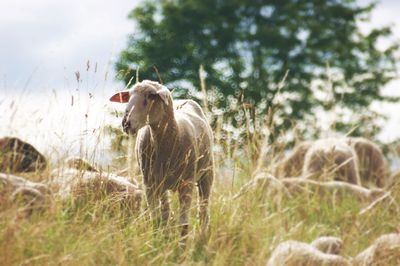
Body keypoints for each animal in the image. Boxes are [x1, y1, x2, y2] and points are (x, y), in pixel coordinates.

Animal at [109, 79, 216, 237]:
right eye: (129, 96)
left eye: (151, 96)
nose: (126, 123)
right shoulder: (149, 184)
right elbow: (155, 220)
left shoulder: (187, 183)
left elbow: (183, 225)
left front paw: (182, 243)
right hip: (163, 183)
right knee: (166, 213)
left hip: (207, 173)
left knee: (203, 211)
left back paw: (203, 236)